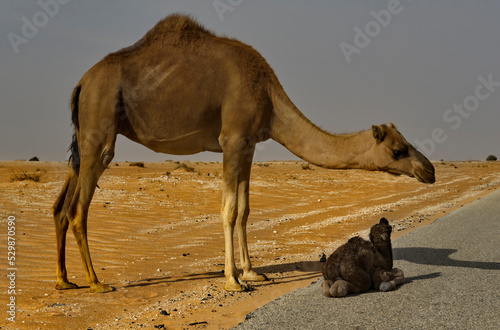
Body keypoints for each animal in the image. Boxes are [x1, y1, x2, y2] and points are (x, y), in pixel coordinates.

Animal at [51, 14, 434, 292]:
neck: (267, 94)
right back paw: (96, 282)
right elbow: (228, 210)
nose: (429, 170)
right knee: (78, 208)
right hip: (100, 126)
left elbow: (246, 210)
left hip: (83, 134)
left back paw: (64, 281)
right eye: (398, 150)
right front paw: (233, 280)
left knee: (60, 206)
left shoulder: (249, 145)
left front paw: (252, 272)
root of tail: (82, 83)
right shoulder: (232, 139)